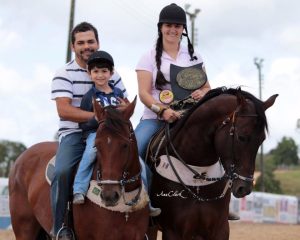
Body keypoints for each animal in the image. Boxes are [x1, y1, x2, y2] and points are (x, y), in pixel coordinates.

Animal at [148, 87, 278, 240]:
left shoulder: (220, 229)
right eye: (241, 137)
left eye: (262, 140)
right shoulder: (173, 232)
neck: (197, 179)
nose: (244, 188)